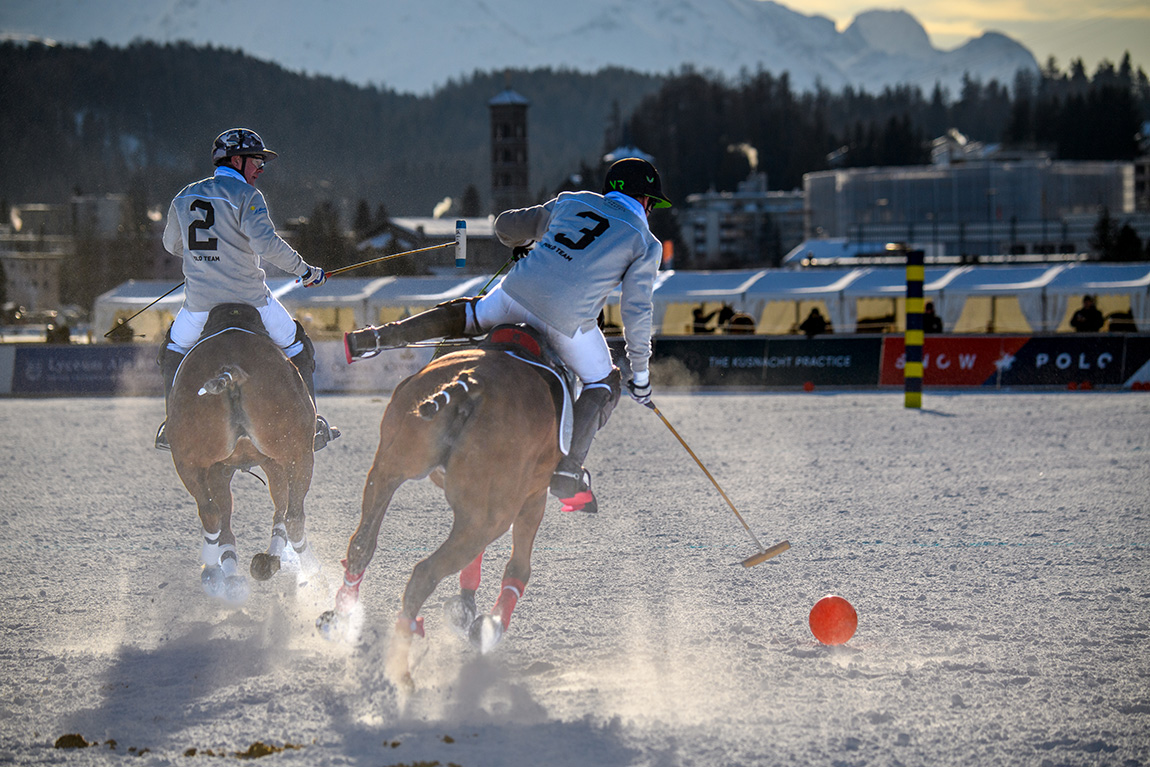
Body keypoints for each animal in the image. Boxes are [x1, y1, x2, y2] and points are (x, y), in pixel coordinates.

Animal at [166, 303, 322, 602]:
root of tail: (231, 371)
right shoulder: (267, 462)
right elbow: (278, 508)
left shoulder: (225, 467)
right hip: (298, 455)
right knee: (292, 516)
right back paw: (313, 573)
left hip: (190, 462)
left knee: (211, 514)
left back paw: (216, 573)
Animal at [317, 338, 563, 689]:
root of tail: (471, 383)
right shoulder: (532, 496)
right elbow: (519, 566)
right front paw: (487, 624)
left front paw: (466, 605)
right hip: (495, 514)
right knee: (425, 573)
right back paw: (401, 667)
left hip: (389, 469)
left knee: (362, 543)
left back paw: (341, 618)